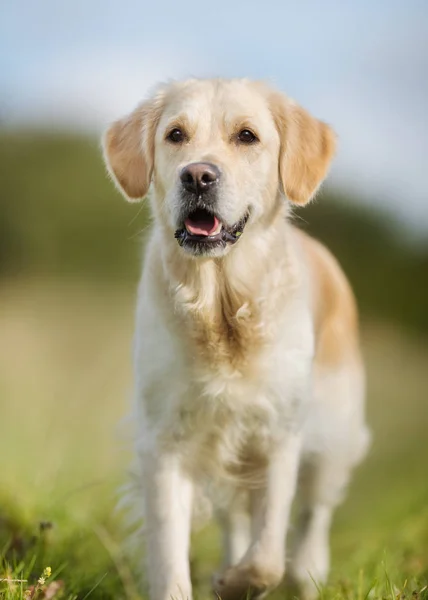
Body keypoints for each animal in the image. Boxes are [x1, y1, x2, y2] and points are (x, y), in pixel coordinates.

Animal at [102, 79, 370, 600]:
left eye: (247, 136)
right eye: (176, 134)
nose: (197, 176)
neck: (221, 308)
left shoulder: (279, 436)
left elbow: (268, 555)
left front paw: (236, 582)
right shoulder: (166, 440)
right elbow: (170, 551)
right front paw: (219, 578)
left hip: (335, 431)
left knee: (315, 515)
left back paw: (308, 571)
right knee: (237, 521)